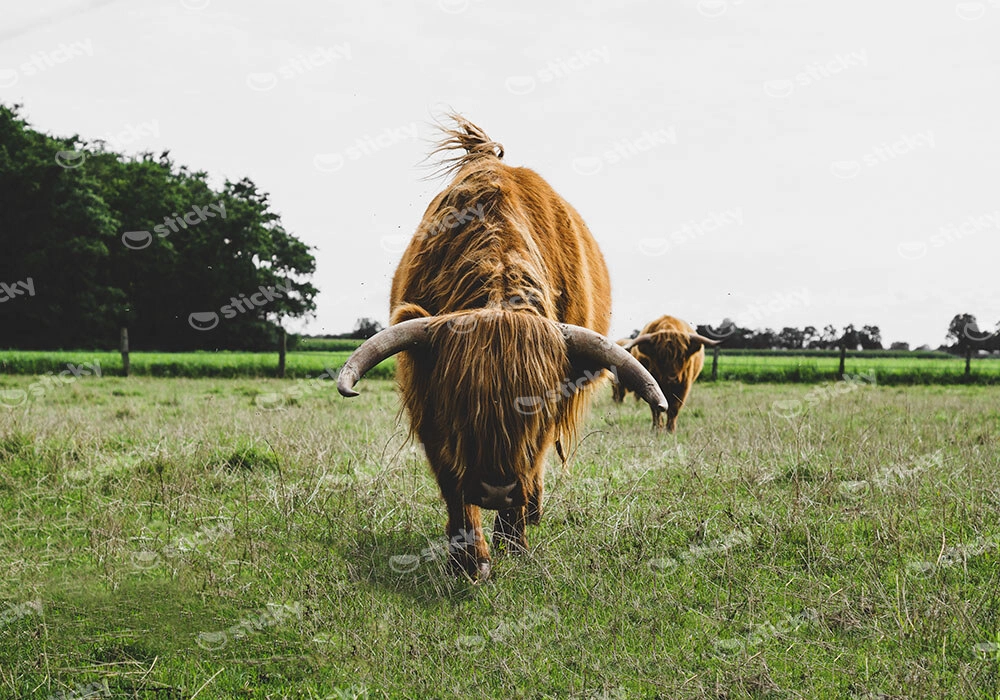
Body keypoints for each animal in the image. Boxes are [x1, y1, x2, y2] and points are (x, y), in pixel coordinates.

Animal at [337, 115, 668, 580]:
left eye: (539, 407)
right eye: (458, 404)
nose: (497, 489)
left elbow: (530, 467)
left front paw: (514, 541)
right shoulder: (430, 410)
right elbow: (454, 486)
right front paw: (468, 559)